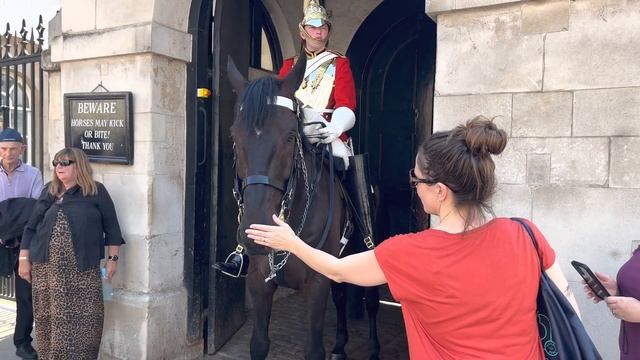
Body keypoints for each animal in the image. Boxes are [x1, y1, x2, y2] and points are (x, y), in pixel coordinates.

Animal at [228, 54, 380, 360]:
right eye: (235, 136)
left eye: (289, 136)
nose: (255, 231)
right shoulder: (258, 281)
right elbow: (258, 344)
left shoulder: (316, 283)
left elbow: (313, 349)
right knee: (341, 295)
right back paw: (340, 345)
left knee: (370, 299)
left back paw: (373, 349)